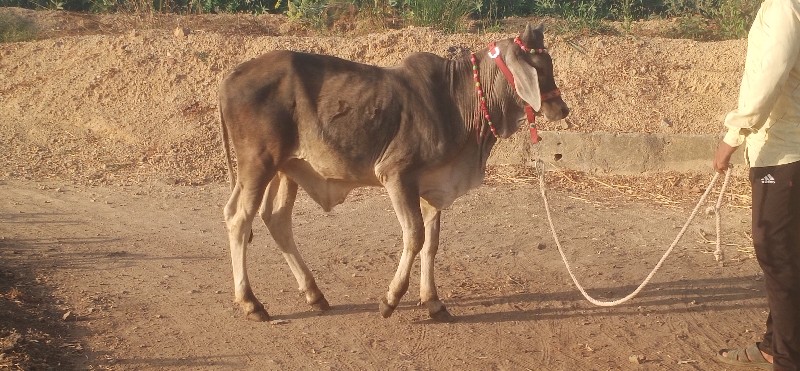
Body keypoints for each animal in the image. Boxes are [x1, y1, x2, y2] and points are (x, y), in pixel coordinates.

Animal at [219, 24, 568, 322]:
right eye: (538, 67)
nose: (562, 109)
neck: (457, 101)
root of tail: (231, 75)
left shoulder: (432, 188)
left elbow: (432, 243)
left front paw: (433, 302)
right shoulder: (397, 175)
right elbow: (414, 236)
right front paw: (390, 300)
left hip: (286, 169)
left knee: (275, 219)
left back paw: (314, 294)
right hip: (258, 163)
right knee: (238, 218)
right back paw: (251, 303)